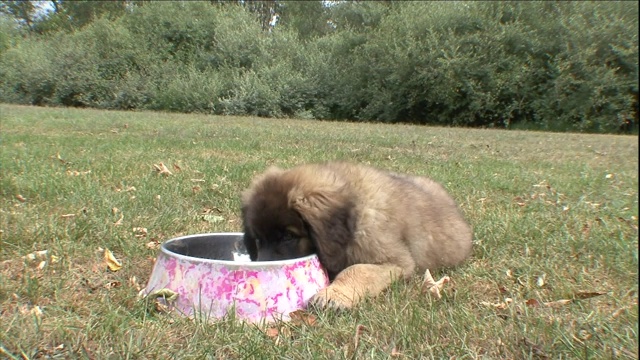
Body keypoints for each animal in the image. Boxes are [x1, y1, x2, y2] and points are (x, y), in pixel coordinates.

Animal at [240, 162, 470, 308]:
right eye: (258, 239)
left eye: (288, 236)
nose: (261, 272)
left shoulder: (396, 262)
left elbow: (358, 270)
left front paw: (334, 295)